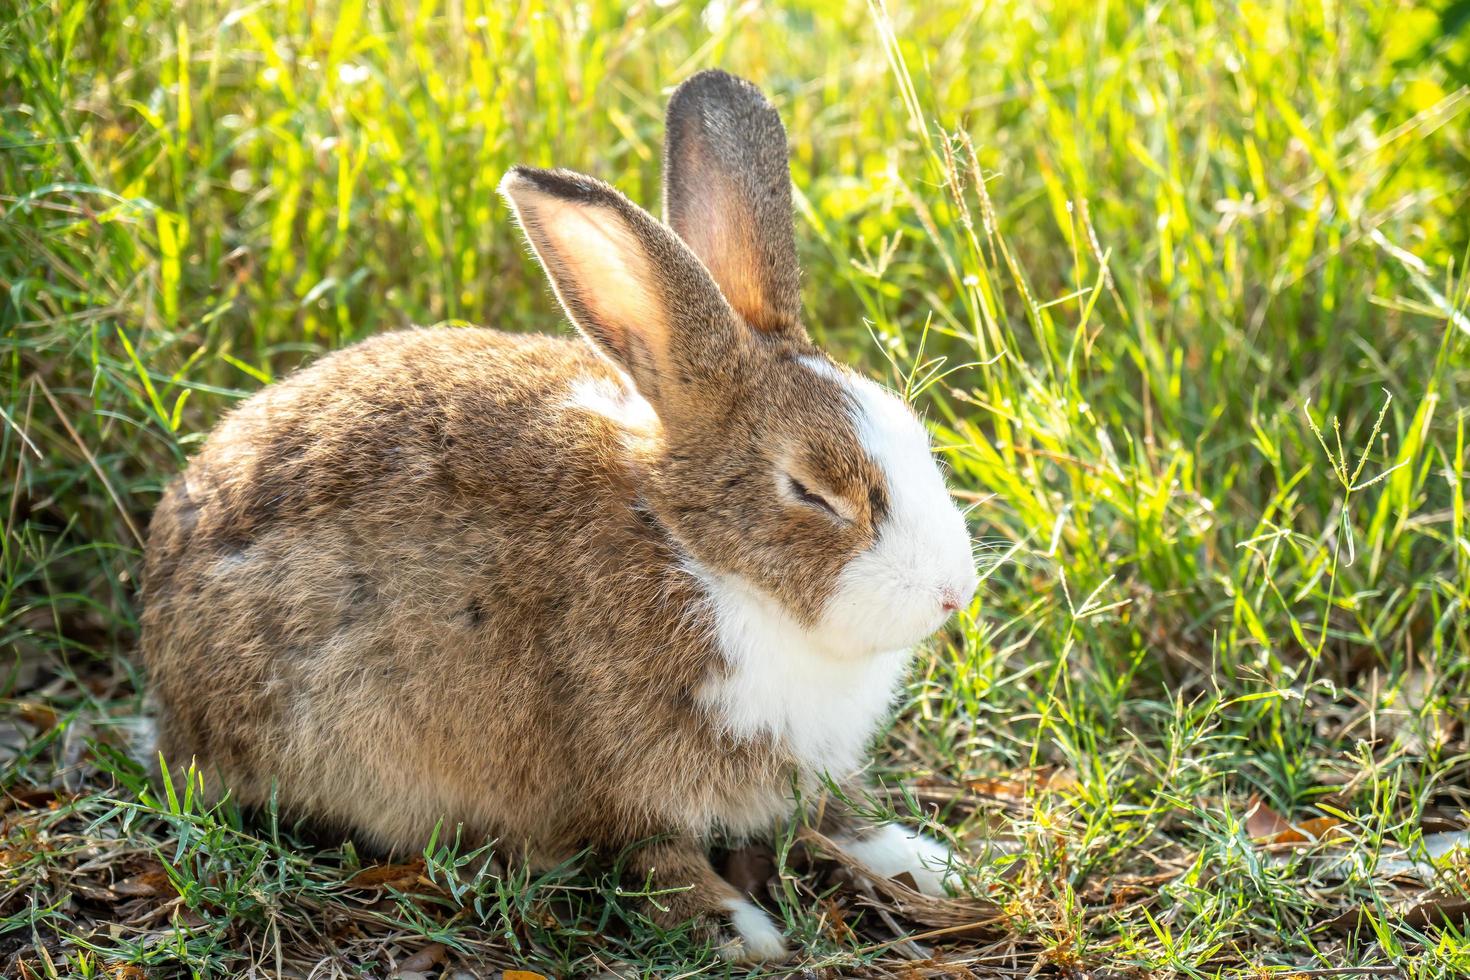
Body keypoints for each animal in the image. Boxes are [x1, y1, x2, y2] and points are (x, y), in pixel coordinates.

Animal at [143, 70, 981, 963]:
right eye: (814, 491)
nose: (954, 594)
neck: (695, 552)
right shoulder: (617, 778)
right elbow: (656, 860)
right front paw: (740, 931)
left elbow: (833, 816)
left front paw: (922, 860)